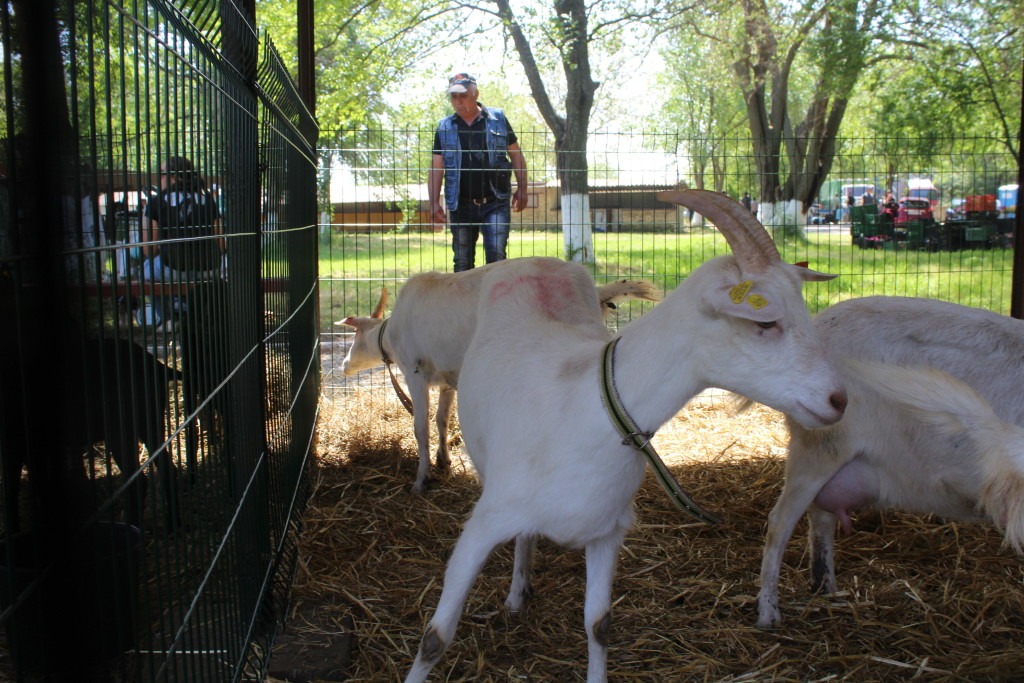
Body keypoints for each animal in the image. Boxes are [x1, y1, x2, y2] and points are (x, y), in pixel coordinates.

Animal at [331, 259, 659, 493]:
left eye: (354, 336)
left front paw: (421, 480)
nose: (343, 366)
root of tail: (594, 292)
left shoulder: (415, 370)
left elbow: (420, 427)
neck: (390, 335)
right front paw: (443, 461)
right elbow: (441, 420)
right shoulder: (448, 378)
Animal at [403, 188, 843, 683]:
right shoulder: (483, 522)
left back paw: (520, 590)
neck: (590, 409)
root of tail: (538, 259)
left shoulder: (606, 532)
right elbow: (435, 637)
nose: (838, 399)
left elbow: (600, 625)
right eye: (765, 323)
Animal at [757, 296, 1024, 630]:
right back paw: (768, 613)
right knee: (780, 522)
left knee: (821, 517)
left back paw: (826, 588)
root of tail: (820, 322)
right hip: (821, 445)